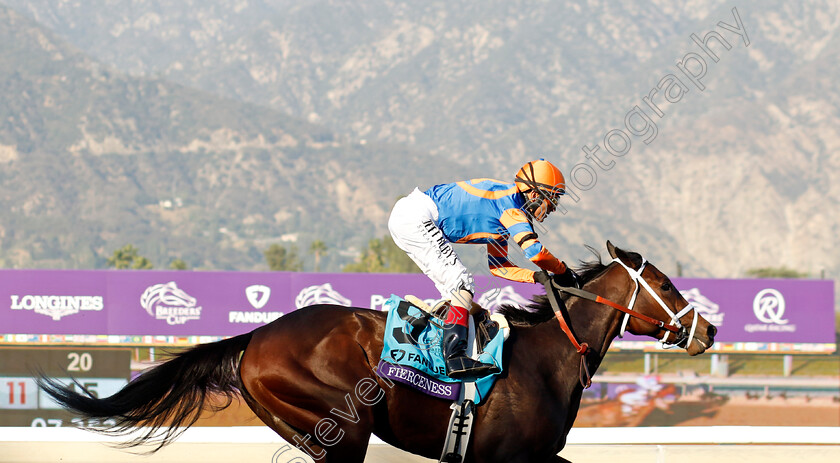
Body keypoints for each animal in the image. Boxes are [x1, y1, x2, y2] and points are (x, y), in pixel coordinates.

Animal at [39, 243, 716, 463]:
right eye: (665, 285)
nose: (707, 330)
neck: (544, 360)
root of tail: (256, 337)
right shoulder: (504, 458)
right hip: (341, 429)